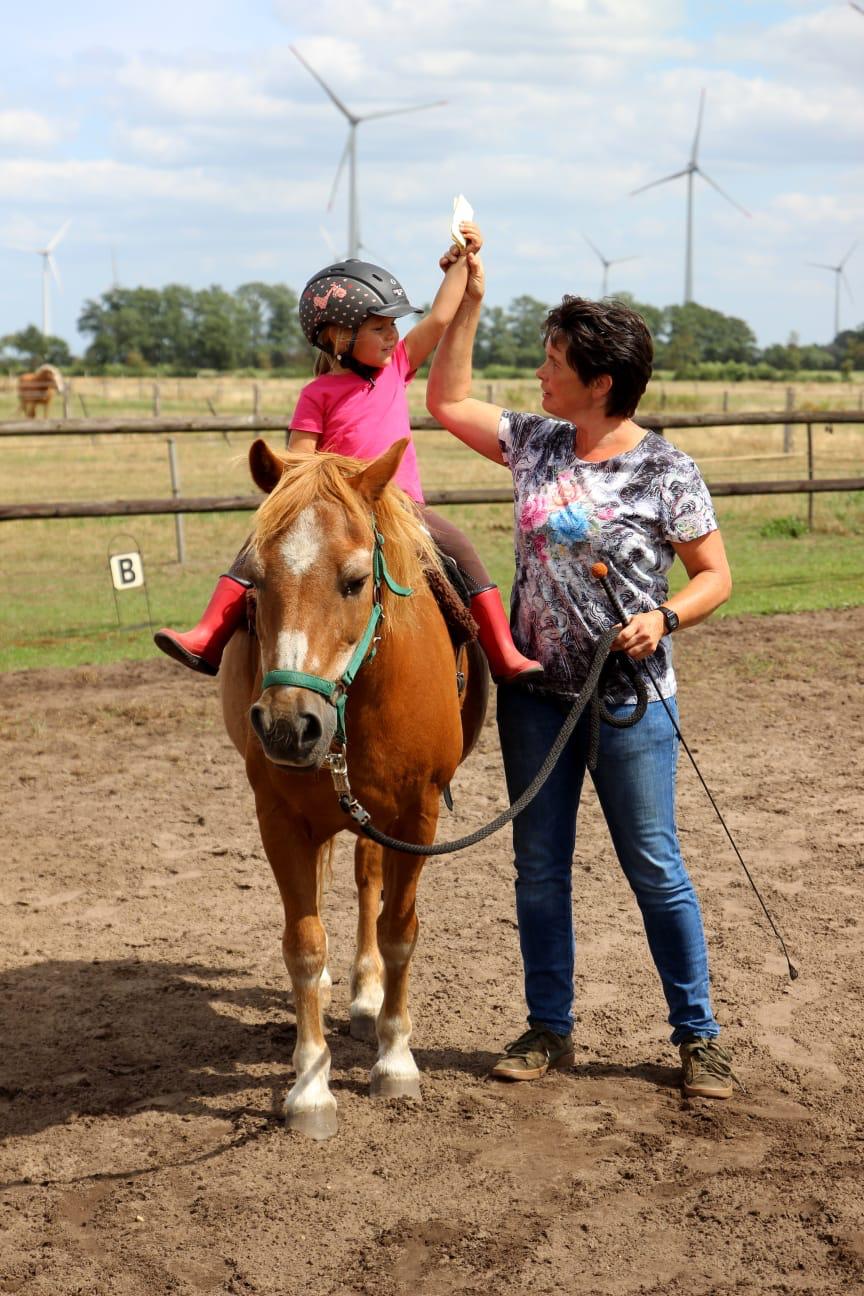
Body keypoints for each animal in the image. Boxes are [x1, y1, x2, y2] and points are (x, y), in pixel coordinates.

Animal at [220, 437, 488, 1138]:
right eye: (256, 582)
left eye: (354, 580)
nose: (287, 726)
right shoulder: (279, 818)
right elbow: (304, 943)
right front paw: (310, 1089)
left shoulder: (418, 816)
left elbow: (398, 928)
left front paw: (394, 1059)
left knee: (371, 885)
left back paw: (368, 999)